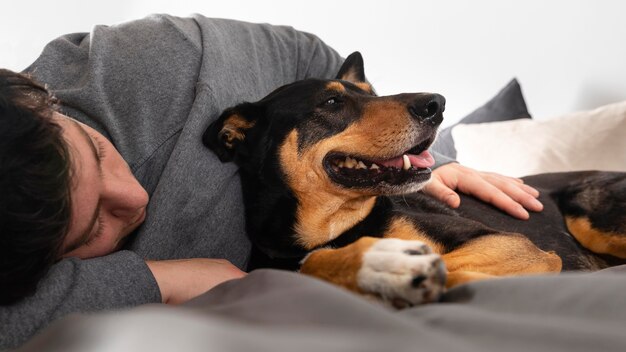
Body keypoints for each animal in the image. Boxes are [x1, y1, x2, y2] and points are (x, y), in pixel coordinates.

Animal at [202, 53, 620, 308]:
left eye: (372, 92)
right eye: (332, 103)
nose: (437, 104)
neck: (335, 226)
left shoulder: (515, 245)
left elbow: (454, 271)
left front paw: (388, 269)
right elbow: (313, 265)